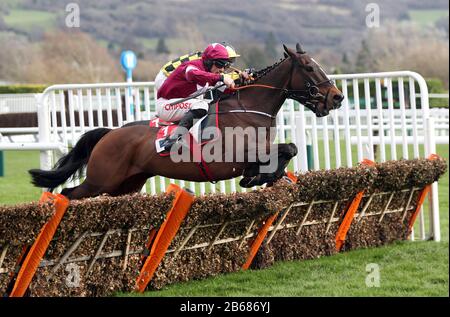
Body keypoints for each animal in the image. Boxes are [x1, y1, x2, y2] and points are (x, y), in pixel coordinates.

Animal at [28, 43, 344, 198]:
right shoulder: (235, 154)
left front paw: (261, 176)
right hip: (101, 180)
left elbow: (289, 149)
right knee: (69, 193)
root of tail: (109, 134)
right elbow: (287, 148)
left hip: (126, 184)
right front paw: (257, 176)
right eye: (308, 67)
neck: (249, 109)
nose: (337, 97)